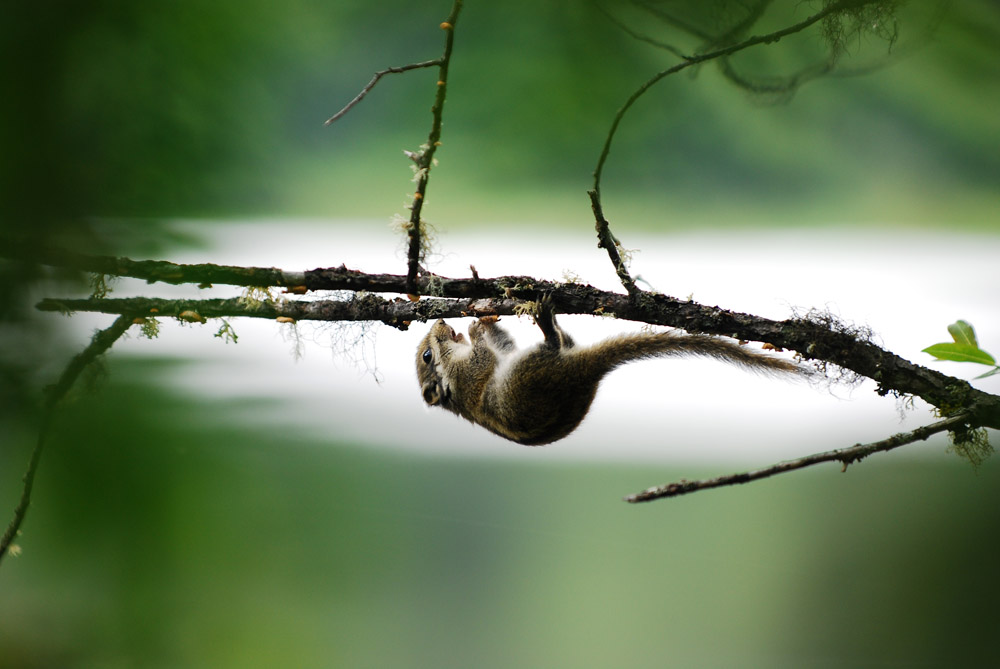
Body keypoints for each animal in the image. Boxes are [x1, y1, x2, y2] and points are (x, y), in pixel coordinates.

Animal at [418, 296, 800, 444]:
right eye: (426, 356)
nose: (440, 323)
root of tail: (584, 373)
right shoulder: (469, 374)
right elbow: (484, 360)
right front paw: (473, 333)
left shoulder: (498, 355)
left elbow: (502, 344)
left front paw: (481, 322)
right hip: (528, 370)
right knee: (552, 346)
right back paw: (548, 325)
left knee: (564, 341)